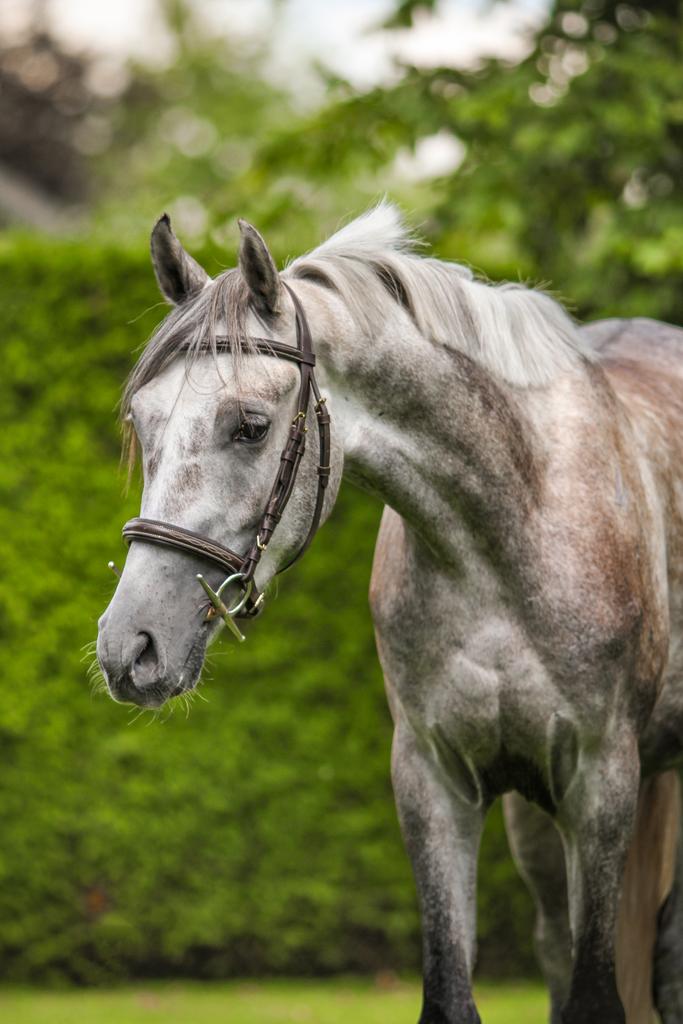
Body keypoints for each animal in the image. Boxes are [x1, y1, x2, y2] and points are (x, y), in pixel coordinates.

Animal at [97, 203, 683, 1023]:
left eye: (250, 425)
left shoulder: (601, 785)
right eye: (141, 424)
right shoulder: (433, 782)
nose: (130, 647)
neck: (512, 522)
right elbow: (453, 992)